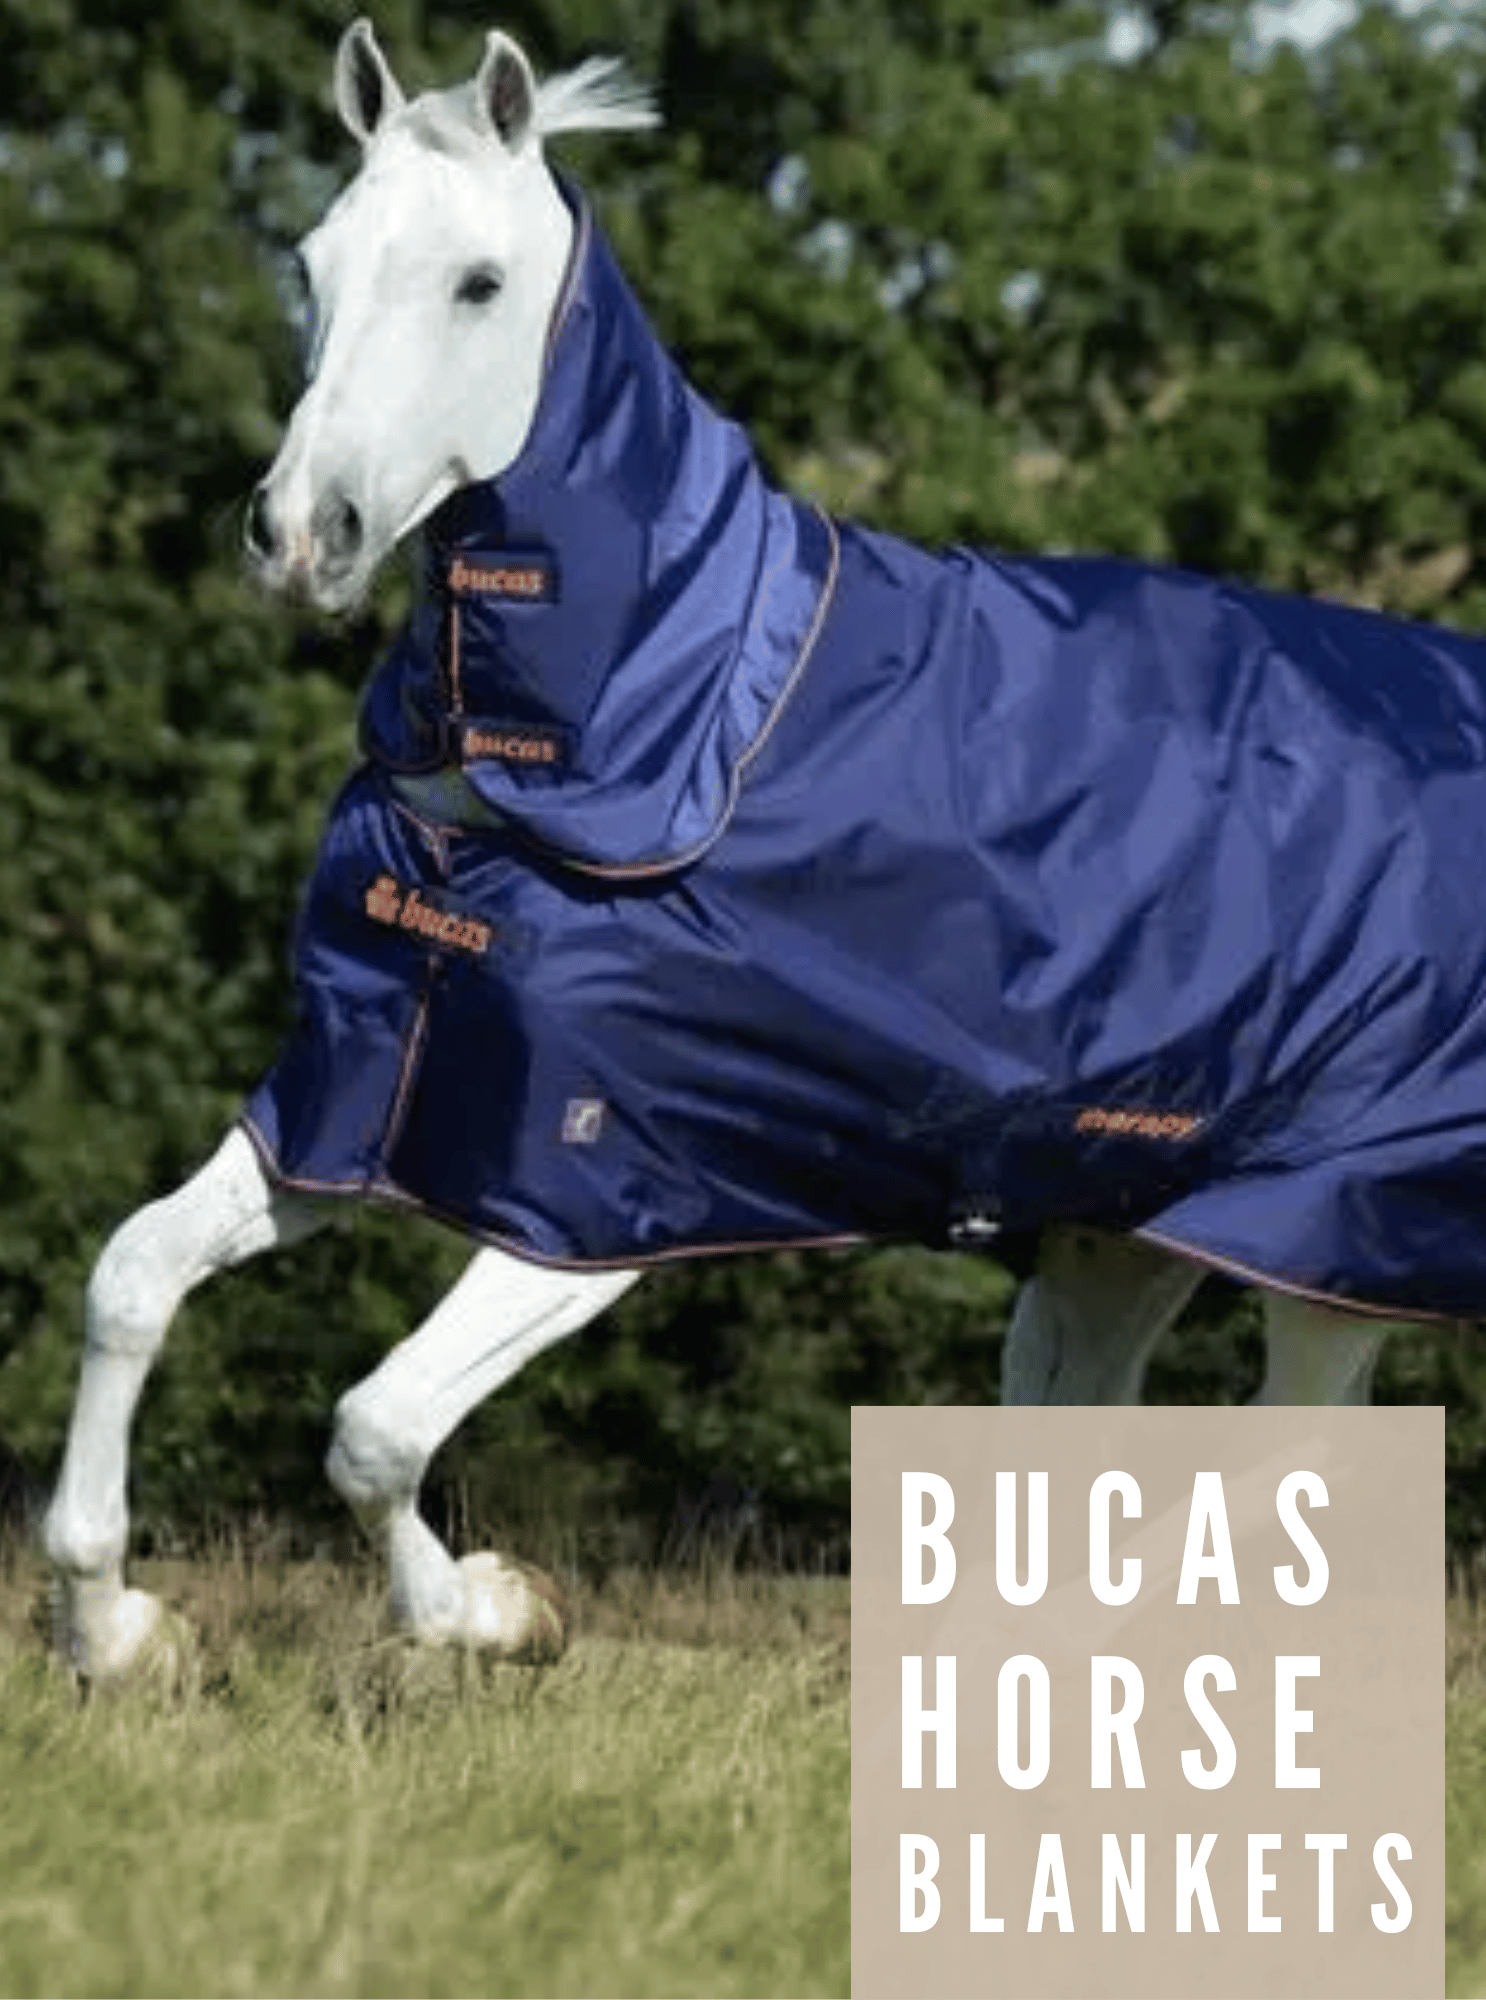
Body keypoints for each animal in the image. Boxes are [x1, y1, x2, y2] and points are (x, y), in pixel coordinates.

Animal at [43, 20, 1465, 1681]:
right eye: (312, 260)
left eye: (477, 282)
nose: (296, 538)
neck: (658, 721)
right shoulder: (353, 1098)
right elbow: (131, 1276)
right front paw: (117, 1626)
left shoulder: (601, 1190)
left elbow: (375, 1429)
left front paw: (492, 1609)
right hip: (1129, 1233)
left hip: (1324, 1237)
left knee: (1282, 1458)